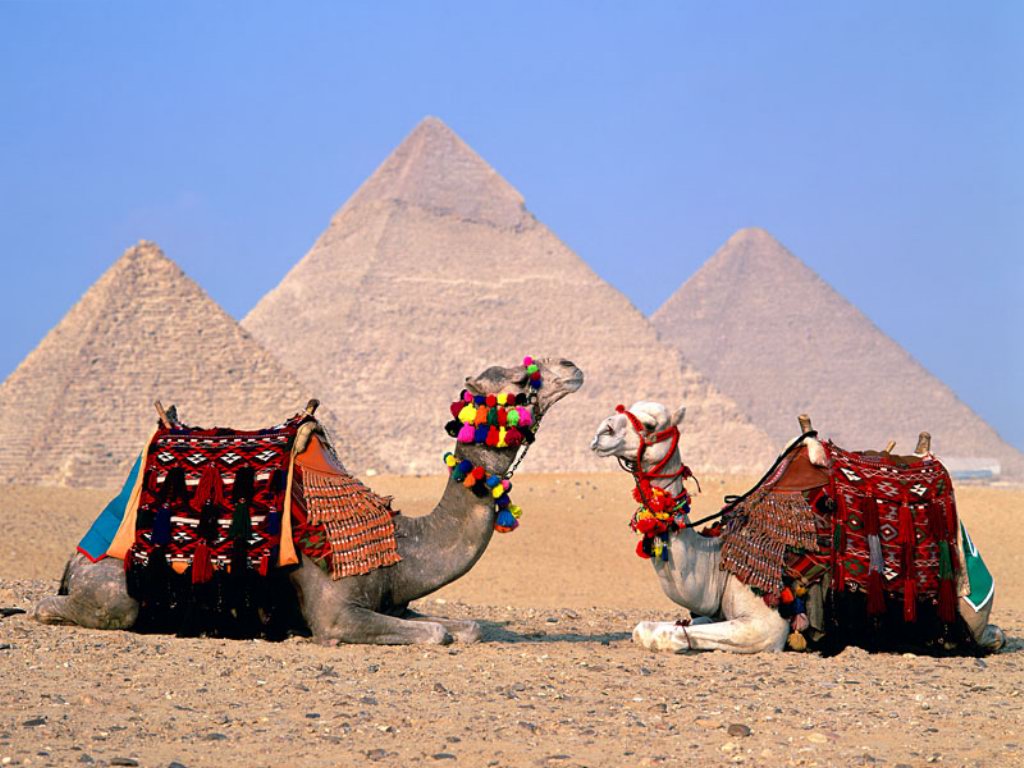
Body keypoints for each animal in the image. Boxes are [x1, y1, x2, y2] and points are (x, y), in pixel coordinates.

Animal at [34, 357, 583, 645]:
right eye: (521, 381)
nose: (572, 367)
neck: (406, 544)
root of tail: (73, 559)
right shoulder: (337, 615)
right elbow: (437, 636)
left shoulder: (397, 603)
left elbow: (465, 627)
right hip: (113, 592)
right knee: (61, 607)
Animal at [591, 402, 1004, 655]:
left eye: (649, 424)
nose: (601, 431)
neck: (715, 563)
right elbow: (647, 628)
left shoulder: (765, 626)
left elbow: (669, 634)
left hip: (965, 608)